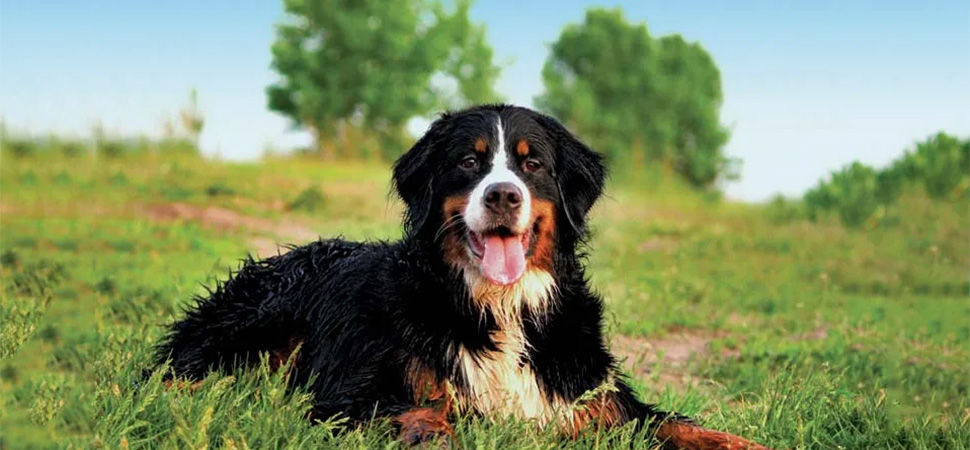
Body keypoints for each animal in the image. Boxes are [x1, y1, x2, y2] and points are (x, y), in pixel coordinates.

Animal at [155, 103, 768, 448]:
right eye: (469, 162)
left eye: (532, 163)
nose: (503, 195)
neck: (500, 305)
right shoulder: (350, 392)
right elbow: (423, 414)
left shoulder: (593, 398)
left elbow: (683, 427)